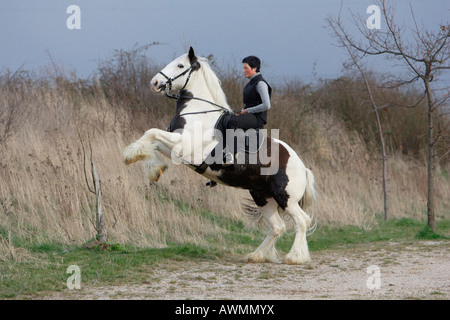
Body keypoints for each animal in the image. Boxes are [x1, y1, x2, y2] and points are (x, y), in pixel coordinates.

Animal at [121, 47, 314, 262]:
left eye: (180, 65)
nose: (154, 83)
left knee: (302, 221)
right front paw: (154, 169)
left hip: (285, 197)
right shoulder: (175, 146)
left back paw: (295, 257)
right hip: (262, 196)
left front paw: (130, 154)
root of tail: (302, 167)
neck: (199, 113)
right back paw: (256, 255)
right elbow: (153, 143)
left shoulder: (184, 145)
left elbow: (151, 132)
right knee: (277, 227)